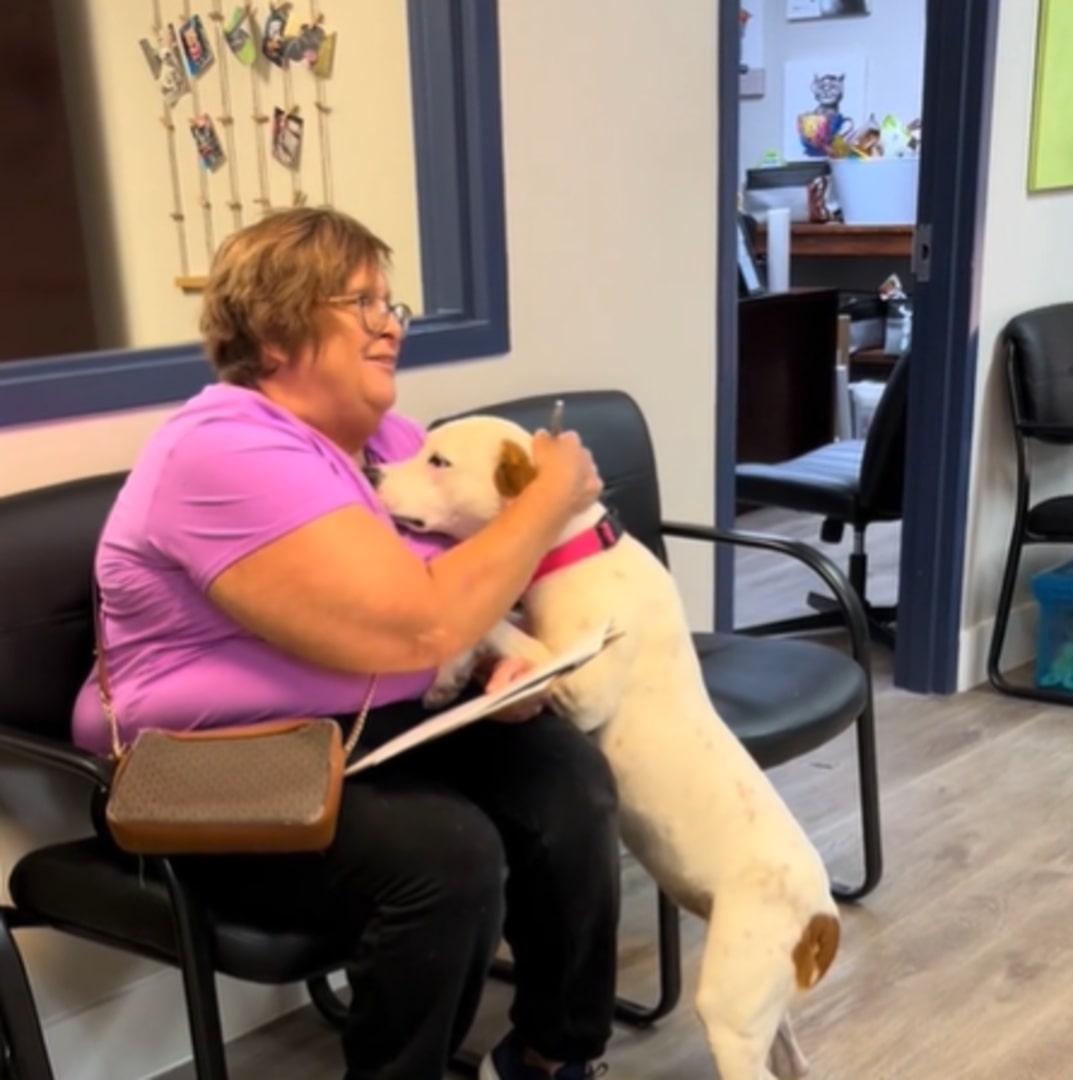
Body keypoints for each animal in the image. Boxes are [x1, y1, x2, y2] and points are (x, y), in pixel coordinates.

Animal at [371, 414, 841, 1080]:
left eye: (438, 461)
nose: (371, 471)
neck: (574, 551)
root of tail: (822, 917)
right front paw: (446, 677)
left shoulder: (581, 683)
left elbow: (505, 628)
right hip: (763, 1010)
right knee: (793, 1057)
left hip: (730, 1011)